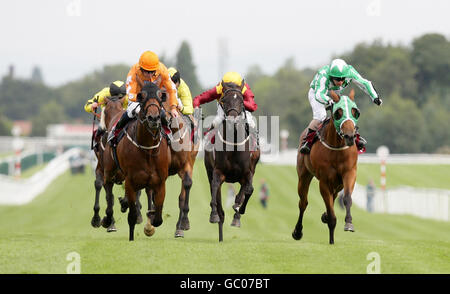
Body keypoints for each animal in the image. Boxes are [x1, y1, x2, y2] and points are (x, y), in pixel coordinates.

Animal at [103, 82, 170, 241]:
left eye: (160, 96)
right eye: (142, 96)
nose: (153, 118)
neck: (148, 149)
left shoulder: (160, 182)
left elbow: (158, 218)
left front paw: (150, 222)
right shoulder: (130, 181)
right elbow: (132, 216)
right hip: (109, 170)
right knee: (108, 191)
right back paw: (107, 219)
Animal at [204, 81, 260, 242]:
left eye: (241, 101)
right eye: (224, 100)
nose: (232, 120)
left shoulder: (248, 172)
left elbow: (249, 190)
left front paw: (238, 212)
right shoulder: (218, 172)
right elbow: (215, 189)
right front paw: (214, 214)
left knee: (243, 191)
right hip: (209, 170)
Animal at [294, 89, 360, 243]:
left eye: (355, 111)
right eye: (338, 112)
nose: (349, 136)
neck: (337, 148)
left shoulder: (349, 173)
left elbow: (346, 198)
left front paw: (349, 224)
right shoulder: (324, 181)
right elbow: (331, 214)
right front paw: (331, 239)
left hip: (338, 183)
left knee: (334, 196)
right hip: (304, 175)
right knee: (303, 202)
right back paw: (298, 231)